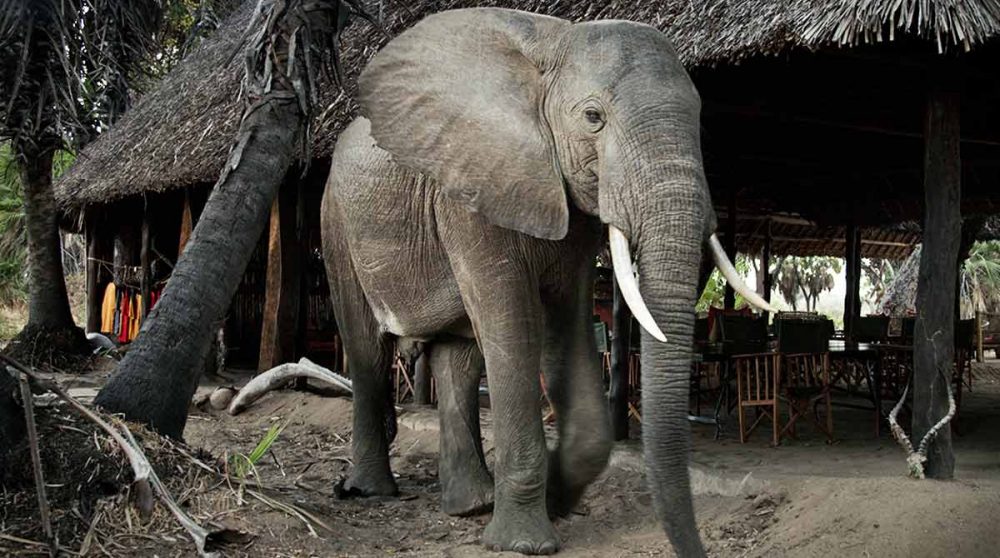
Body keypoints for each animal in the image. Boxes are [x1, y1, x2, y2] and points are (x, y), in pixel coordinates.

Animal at [320, 7, 772, 556]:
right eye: (593, 117)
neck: (554, 42)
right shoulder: (472, 188)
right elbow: (511, 324)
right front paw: (525, 543)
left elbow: (566, 323)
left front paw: (557, 500)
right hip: (337, 221)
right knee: (366, 346)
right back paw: (372, 492)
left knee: (458, 359)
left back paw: (471, 504)